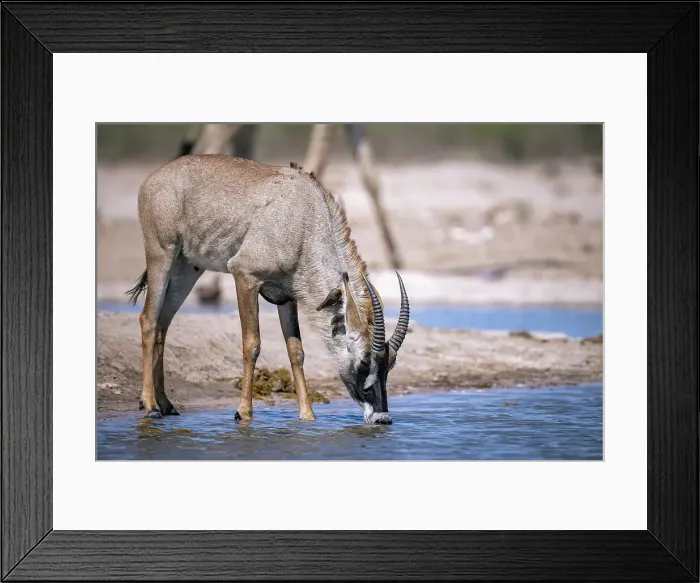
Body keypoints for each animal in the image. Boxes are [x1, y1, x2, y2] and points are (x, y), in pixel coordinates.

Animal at [126, 155, 410, 424]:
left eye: (391, 364)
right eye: (364, 361)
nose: (382, 418)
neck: (305, 221)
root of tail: (152, 180)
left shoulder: (286, 297)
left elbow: (296, 352)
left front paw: (307, 416)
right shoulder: (245, 276)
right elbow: (252, 344)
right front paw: (244, 413)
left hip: (187, 269)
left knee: (163, 323)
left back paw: (166, 404)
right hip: (162, 254)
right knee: (148, 319)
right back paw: (150, 406)